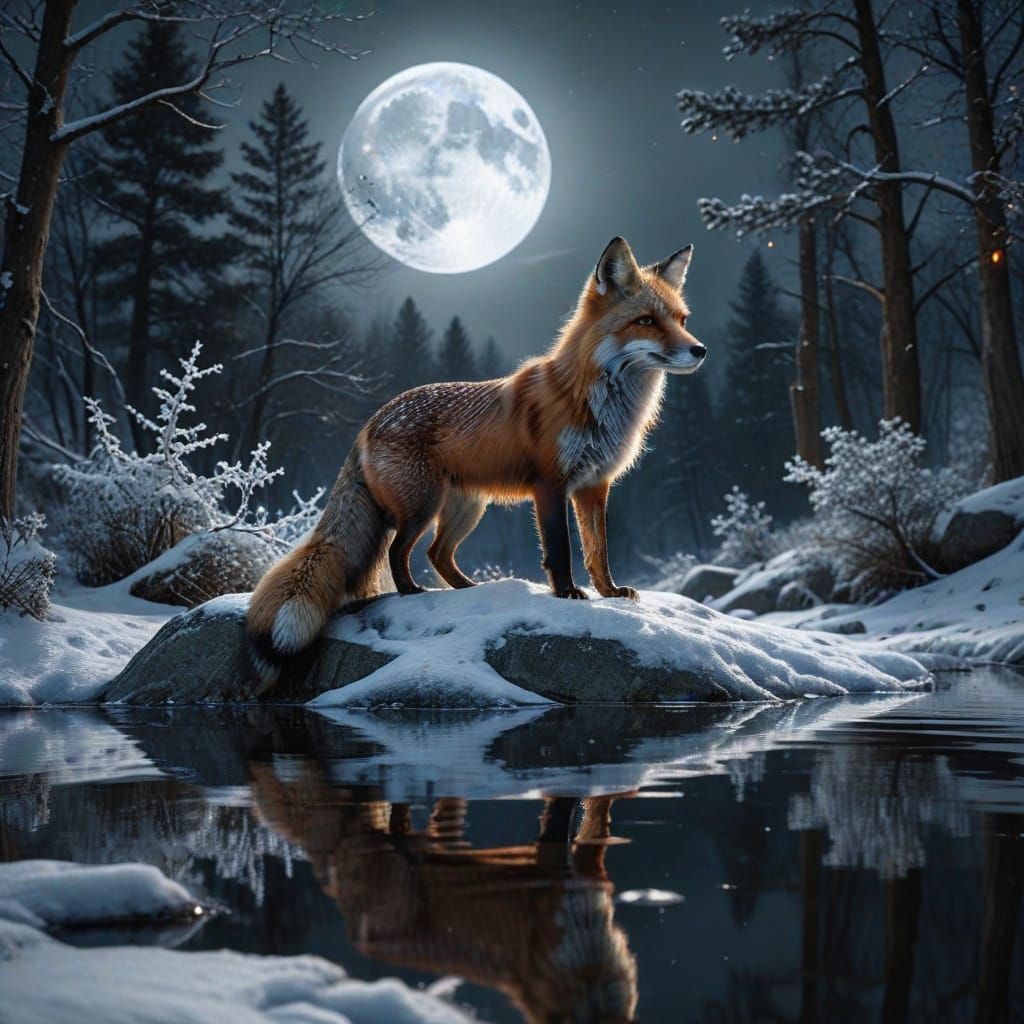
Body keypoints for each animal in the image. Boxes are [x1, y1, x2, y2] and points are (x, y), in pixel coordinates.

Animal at [247, 235, 707, 687]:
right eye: (646, 321)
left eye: (682, 319)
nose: (700, 350)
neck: (596, 404)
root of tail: (371, 420)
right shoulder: (550, 484)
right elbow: (560, 548)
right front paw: (567, 594)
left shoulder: (595, 485)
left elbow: (599, 550)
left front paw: (609, 593)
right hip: (422, 507)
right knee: (399, 552)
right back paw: (413, 592)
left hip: (467, 508)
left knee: (437, 554)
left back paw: (470, 590)